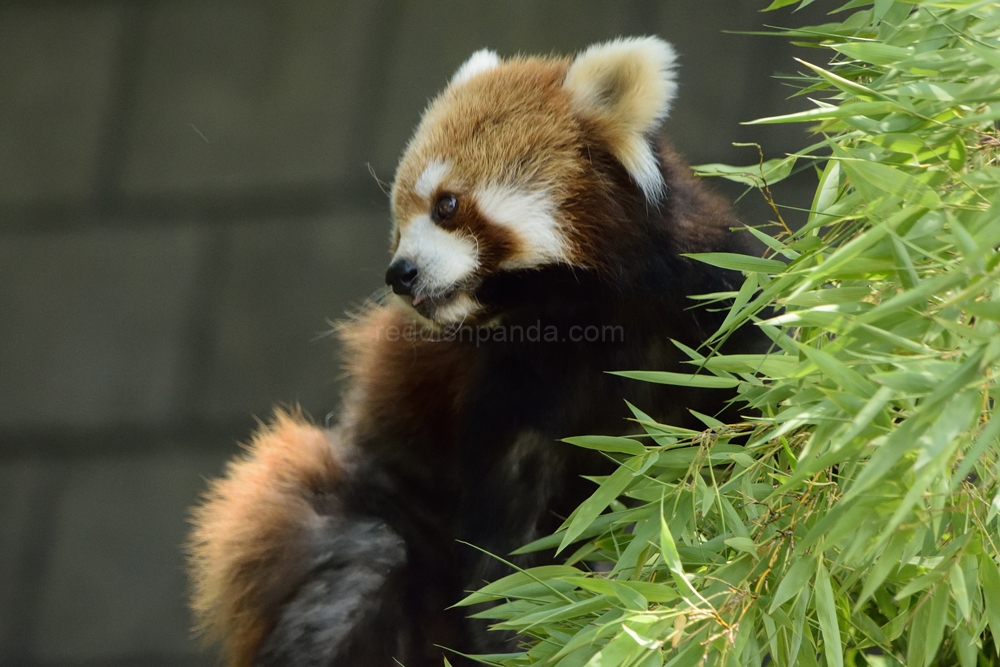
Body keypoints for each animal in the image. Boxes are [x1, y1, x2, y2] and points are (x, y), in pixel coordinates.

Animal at [189, 37, 764, 667]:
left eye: (446, 205)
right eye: (398, 226)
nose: (400, 274)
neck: (579, 315)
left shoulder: (711, 298)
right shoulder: (508, 383)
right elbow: (504, 546)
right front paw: (525, 633)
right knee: (362, 564)